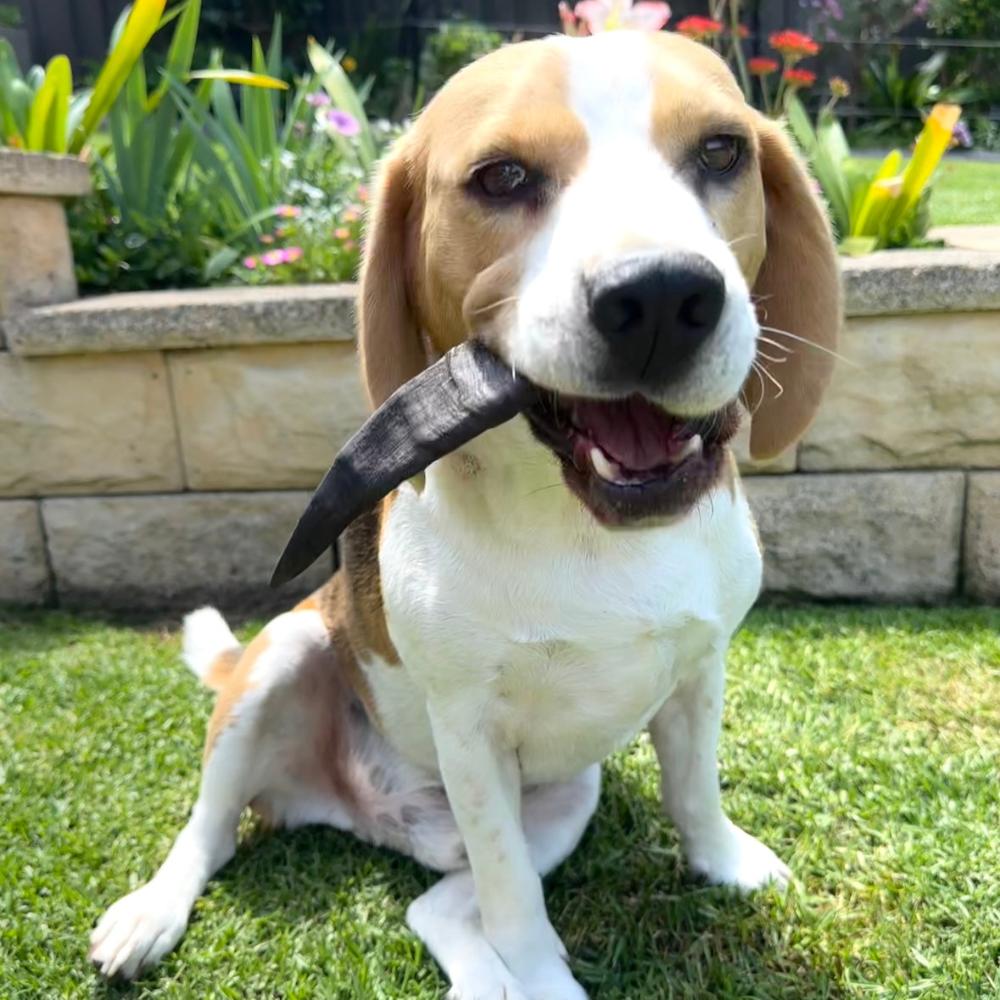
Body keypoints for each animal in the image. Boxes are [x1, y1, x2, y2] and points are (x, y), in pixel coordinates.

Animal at [90, 27, 836, 996]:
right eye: (502, 177)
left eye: (721, 152)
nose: (662, 297)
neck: (586, 530)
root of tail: (371, 814)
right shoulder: (472, 733)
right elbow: (514, 896)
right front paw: (544, 973)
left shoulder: (700, 667)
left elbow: (693, 789)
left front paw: (724, 861)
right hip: (282, 657)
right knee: (211, 832)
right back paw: (152, 912)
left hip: (567, 797)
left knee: (438, 908)